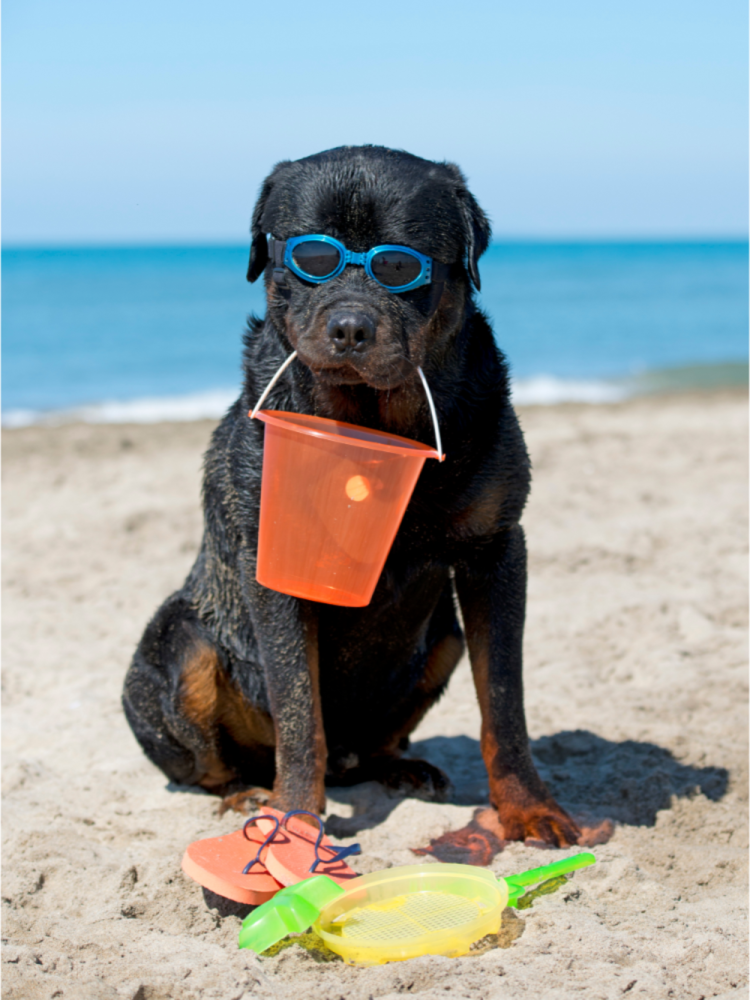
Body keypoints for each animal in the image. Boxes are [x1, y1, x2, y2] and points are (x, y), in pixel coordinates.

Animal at [123, 143, 580, 844]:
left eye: (399, 264)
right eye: (312, 258)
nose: (350, 326)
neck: (373, 430)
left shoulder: (496, 548)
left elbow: (504, 700)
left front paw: (529, 807)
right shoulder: (271, 561)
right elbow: (298, 710)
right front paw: (291, 817)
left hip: (442, 639)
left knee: (374, 741)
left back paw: (400, 768)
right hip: (180, 641)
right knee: (212, 753)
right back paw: (247, 793)